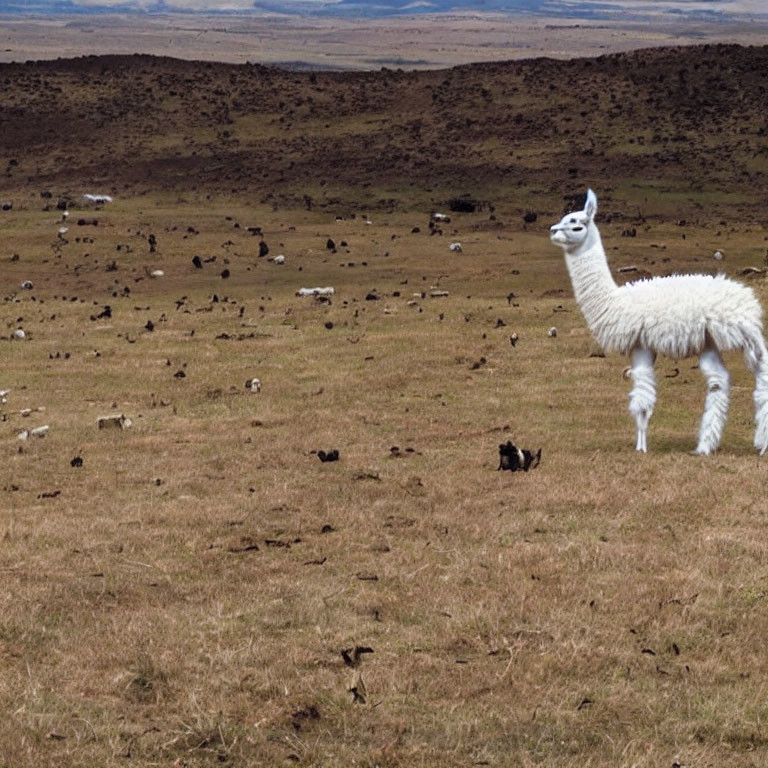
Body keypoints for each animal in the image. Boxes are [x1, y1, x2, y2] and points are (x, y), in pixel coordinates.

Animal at [548, 190, 768, 456]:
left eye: (577, 224)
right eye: (563, 217)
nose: (552, 230)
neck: (615, 300)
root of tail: (748, 300)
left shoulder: (640, 343)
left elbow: (641, 400)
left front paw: (641, 449)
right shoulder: (641, 347)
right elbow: (641, 398)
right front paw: (641, 444)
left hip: (743, 335)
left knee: (762, 376)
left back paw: (760, 445)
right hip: (708, 341)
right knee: (719, 381)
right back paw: (705, 446)